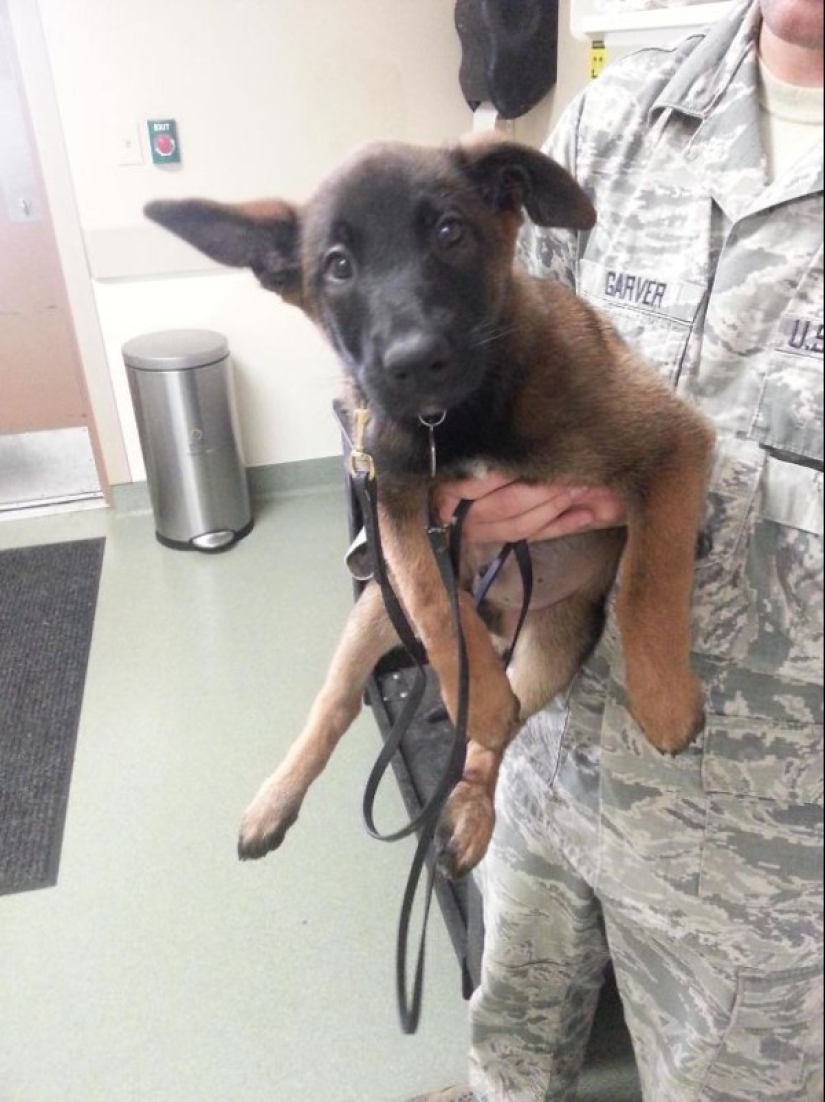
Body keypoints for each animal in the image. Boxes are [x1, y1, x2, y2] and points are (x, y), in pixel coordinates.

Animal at [144, 135, 709, 877]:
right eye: (339, 266)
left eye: (449, 232)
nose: (414, 363)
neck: (457, 420)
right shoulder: (392, 498)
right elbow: (433, 597)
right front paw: (476, 688)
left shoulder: (673, 443)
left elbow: (650, 578)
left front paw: (664, 700)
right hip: (373, 613)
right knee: (338, 703)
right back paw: (279, 798)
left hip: (549, 646)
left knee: (497, 738)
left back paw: (470, 803)